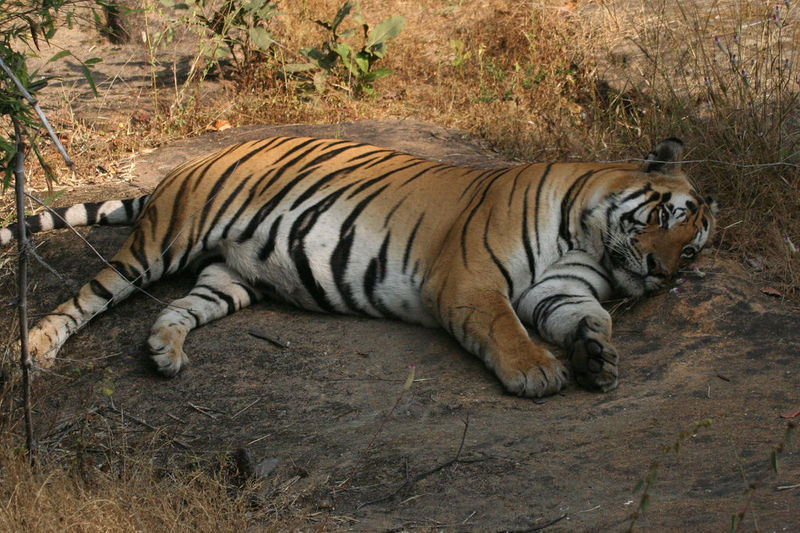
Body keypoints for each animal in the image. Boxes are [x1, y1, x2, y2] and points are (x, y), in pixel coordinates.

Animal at [0, 135, 720, 396]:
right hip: (162, 242)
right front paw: (539, 371)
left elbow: (592, 318)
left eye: (694, 247)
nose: (662, 274)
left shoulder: (562, 291)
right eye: (665, 217)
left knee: (178, 308)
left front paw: (597, 357)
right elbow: (505, 327)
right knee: (87, 296)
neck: (587, 241)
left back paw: (164, 353)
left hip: (230, 279)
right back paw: (34, 350)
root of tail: (189, 164)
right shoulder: (470, 279)